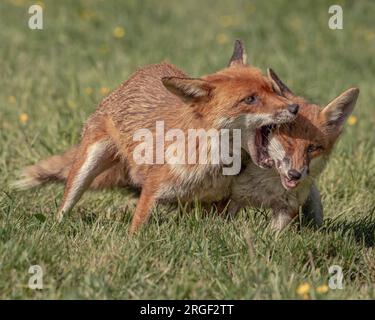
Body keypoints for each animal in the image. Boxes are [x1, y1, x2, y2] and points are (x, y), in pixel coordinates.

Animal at [15, 41, 300, 234]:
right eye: (250, 99)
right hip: (87, 166)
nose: (295, 108)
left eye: (273, 89)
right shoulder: (152, 191)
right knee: (66, 203)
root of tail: (143, 71)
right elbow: (135, 231)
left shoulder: (219, 203)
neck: (209, 165)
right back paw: (55, 226)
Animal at [229, 68, 362, 230]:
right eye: (288, 141)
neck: (268, 188)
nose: (294, 175)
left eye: (312, 148)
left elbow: (274, 234)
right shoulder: (230, 199)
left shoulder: (286, 209)